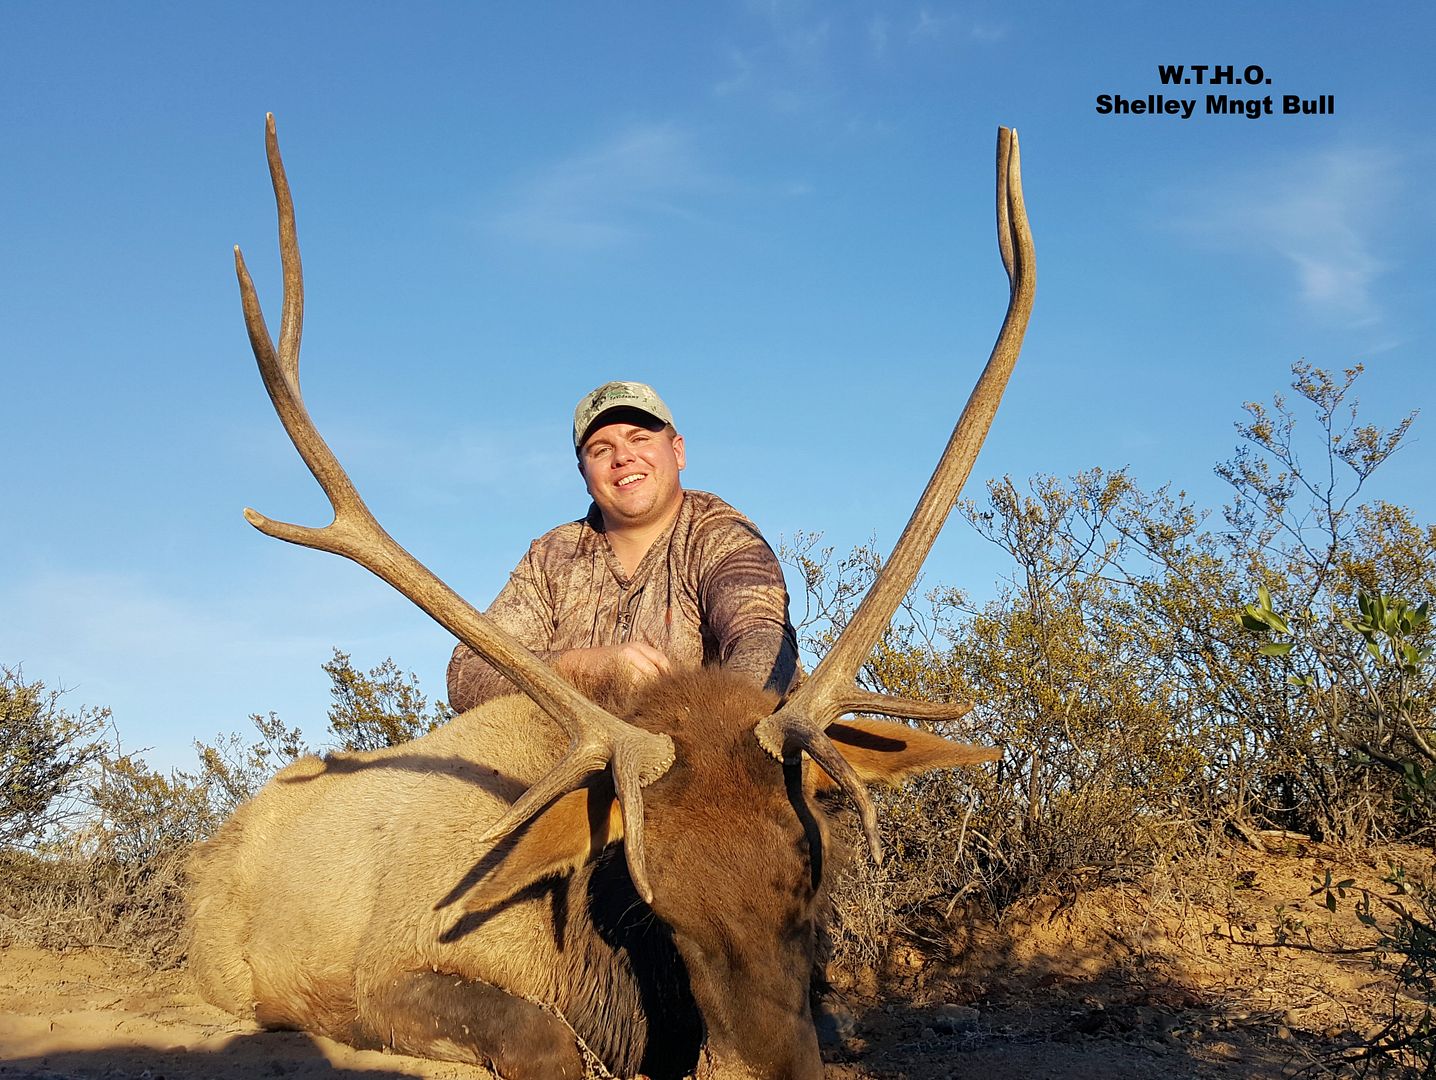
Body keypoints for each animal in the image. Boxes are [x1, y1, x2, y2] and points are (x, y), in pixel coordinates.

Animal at [186, 115, 1034, 1080]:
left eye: (811, 871)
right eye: (656, 902)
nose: (764, 1065)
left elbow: (841, 1018)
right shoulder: (386, 972)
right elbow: (542, 1037)